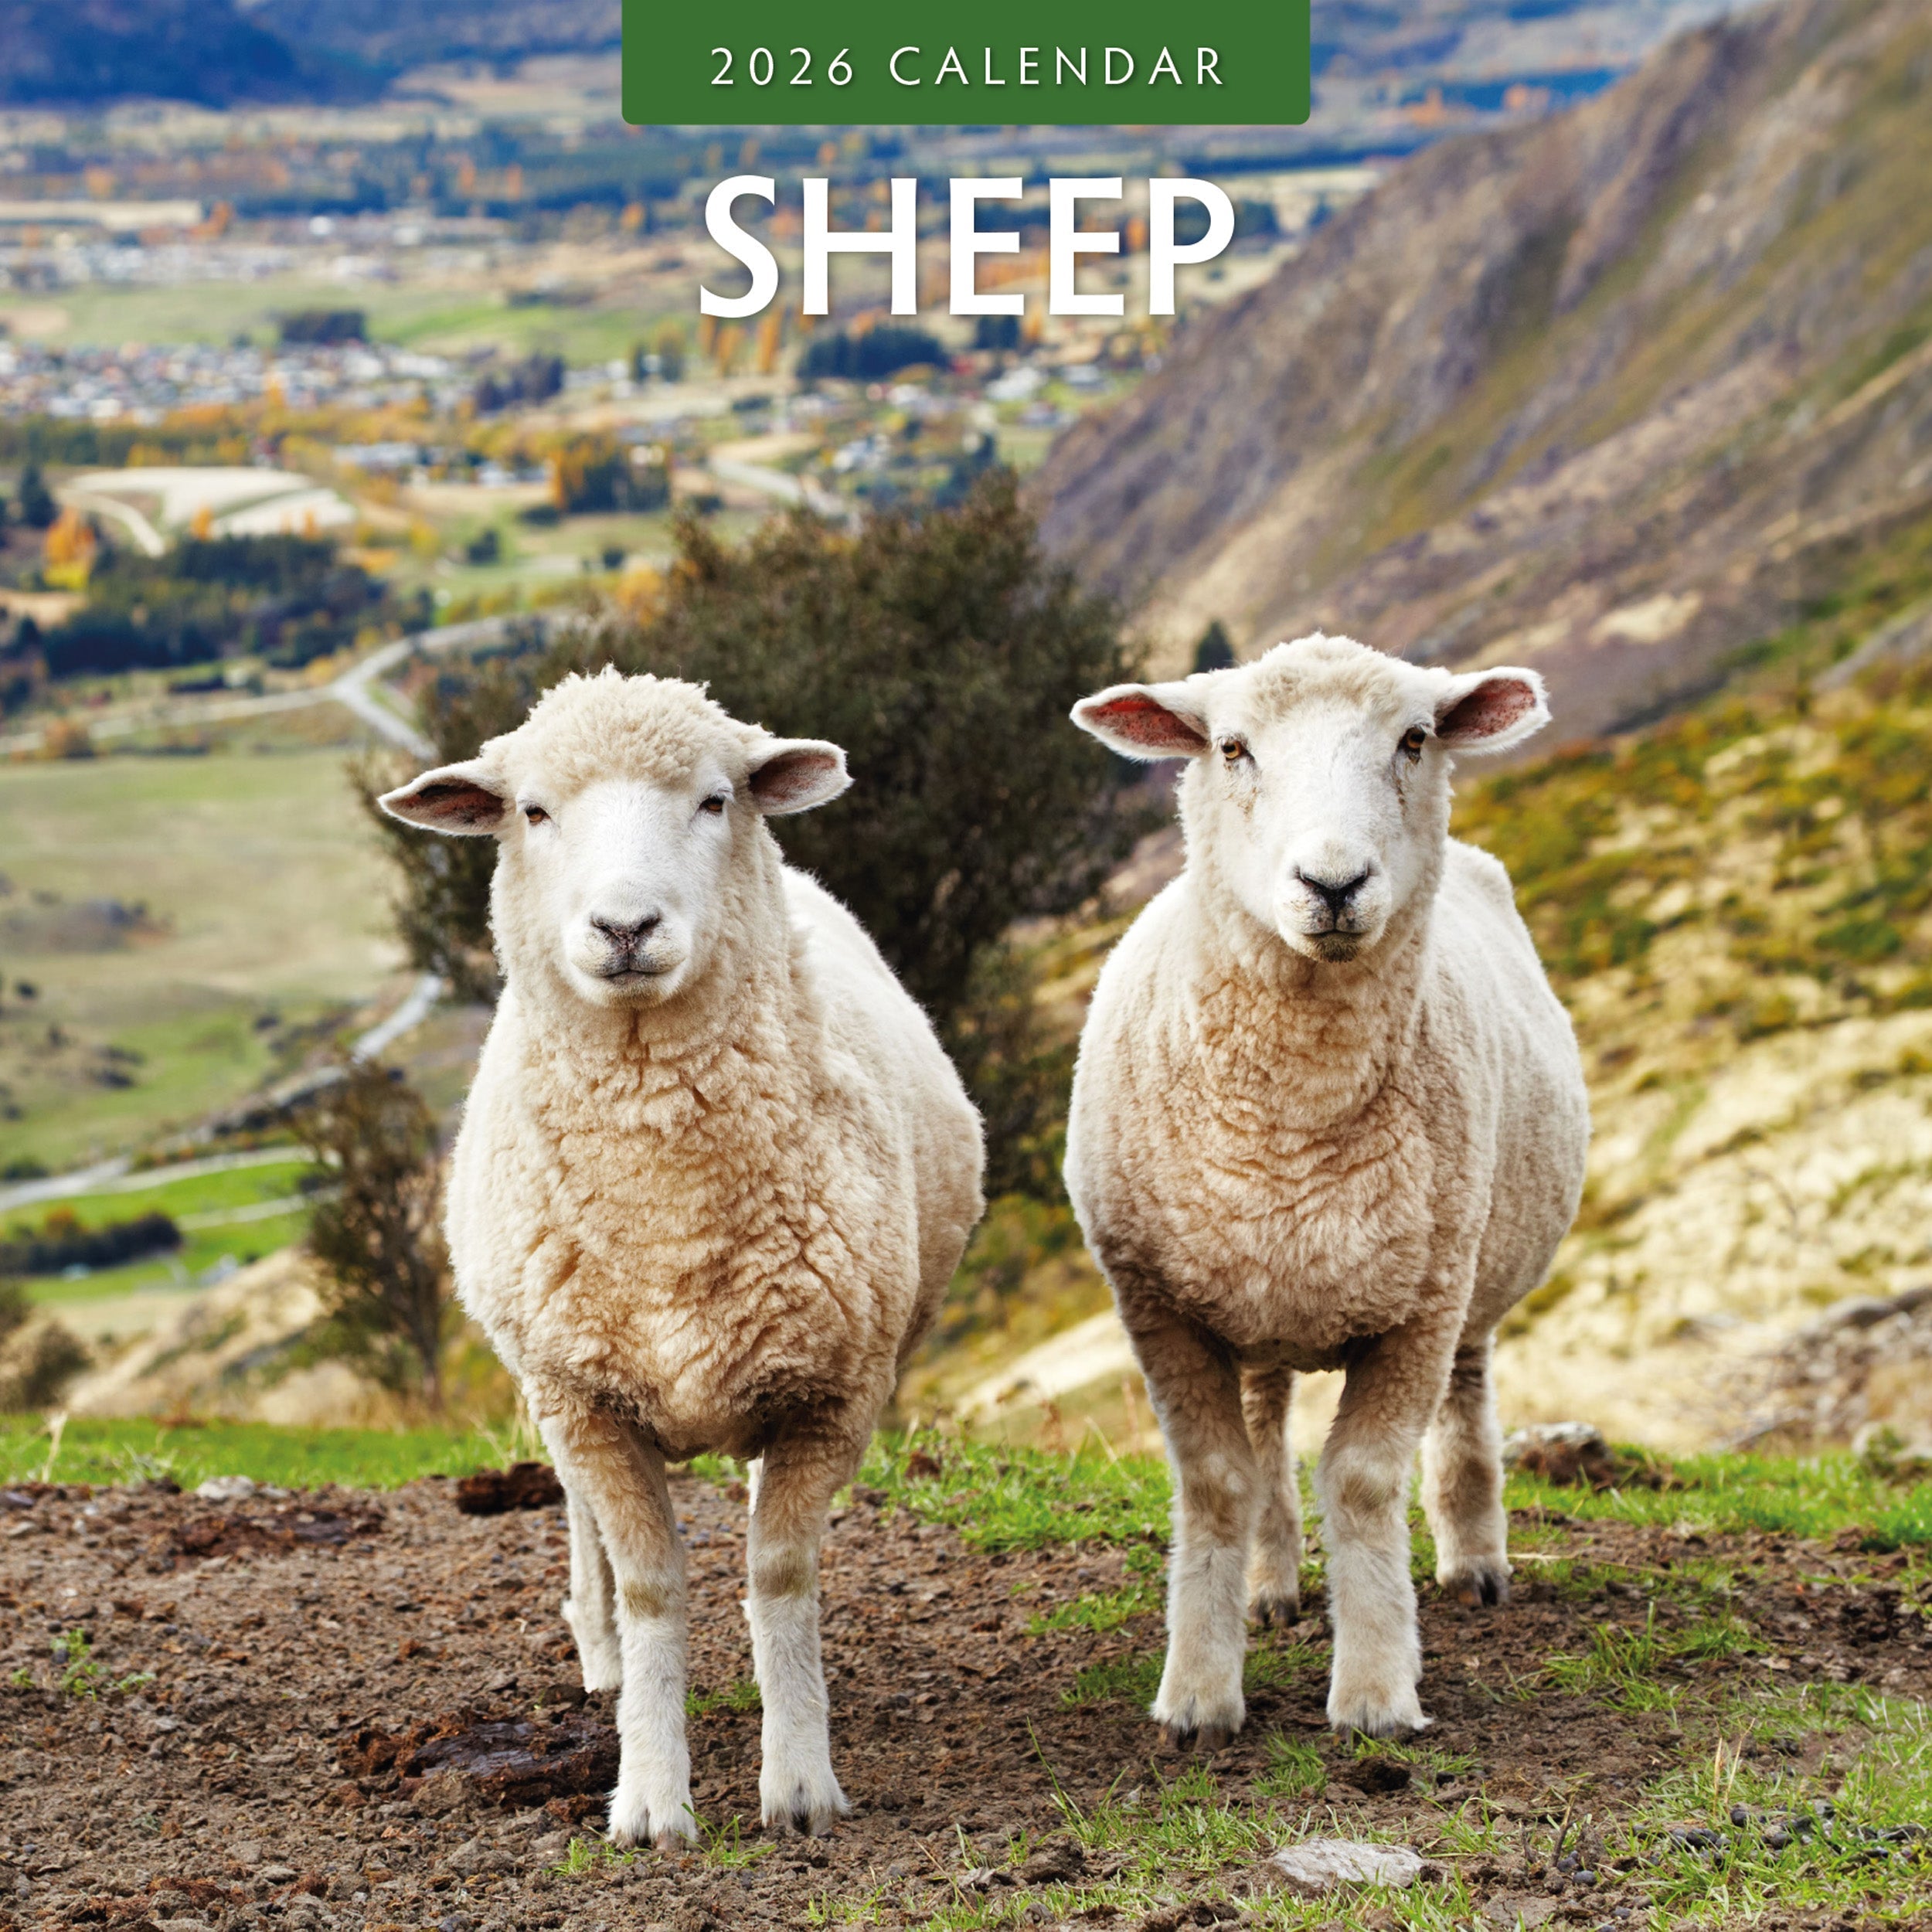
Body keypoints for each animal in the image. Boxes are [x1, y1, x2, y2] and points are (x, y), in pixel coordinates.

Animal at [379, 668, 984, 1846]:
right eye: (532, 811)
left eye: (714, 800)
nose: (625, 926)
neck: (668, 1212)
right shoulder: (583, 1399)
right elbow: (652, 1582)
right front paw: (651, 1796)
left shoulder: (832, 1390)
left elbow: (781, 1570)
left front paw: (798, 1782)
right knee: (585, 1536)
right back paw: (602, 1653)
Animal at [1064, 633, 1588, 1743]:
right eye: (1230, 747)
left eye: (1415, 738)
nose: (1334, 882)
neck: (1295, 1129)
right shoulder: (1160, 1306)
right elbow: (1218, 1480)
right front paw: (1199, 1692)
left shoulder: (1420, 1307)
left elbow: (1361, 1481)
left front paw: (1378, 1691)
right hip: (1256, 1291)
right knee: (1265, 1427)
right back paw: (1270, 1586)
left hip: (1470, 1267)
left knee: (1466, 1399)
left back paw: (1475, 1562)